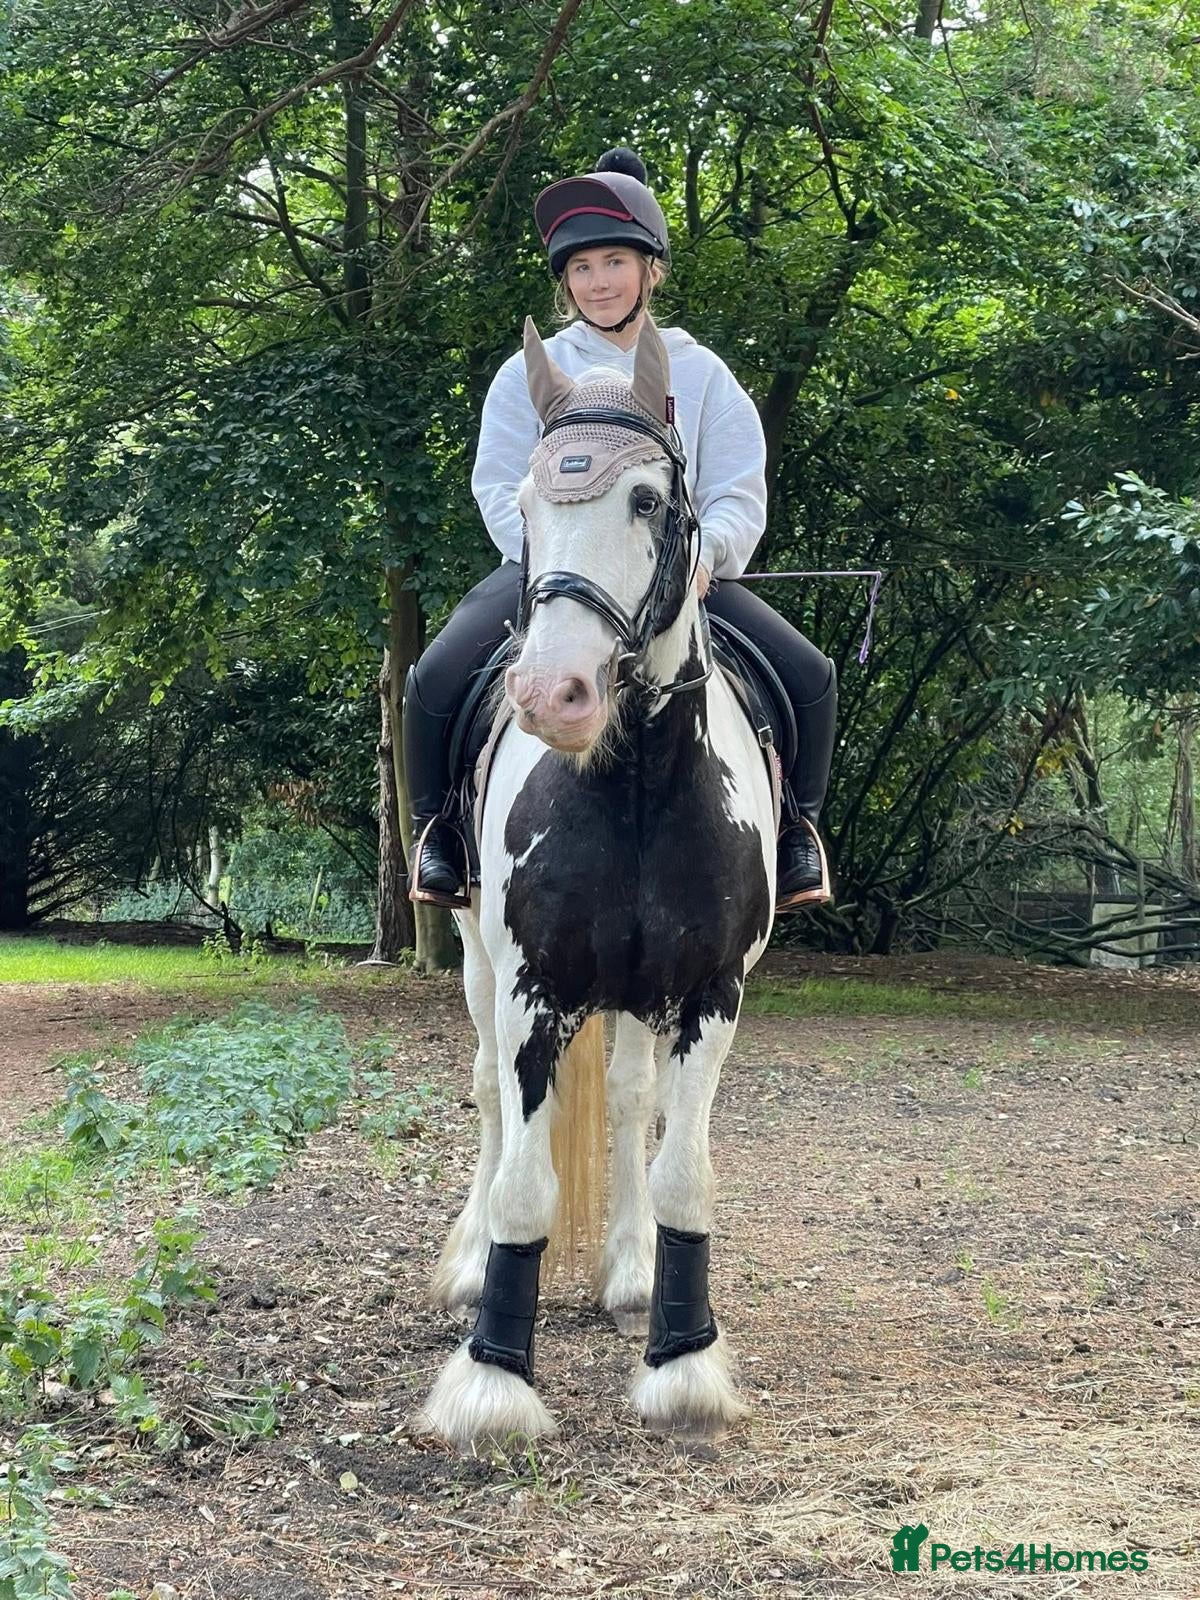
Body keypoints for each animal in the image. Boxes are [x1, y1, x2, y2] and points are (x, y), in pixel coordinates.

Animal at [416, 314, 777, 1447]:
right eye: (529, 504)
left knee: (626, 1103)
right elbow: (525, 1186)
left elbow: (683, 1173)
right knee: (490, 1095)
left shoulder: (709, 996)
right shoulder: (534, 992)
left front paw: (683, 1357)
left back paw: (628, 1269)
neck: (631, 787)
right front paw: (491, 1378)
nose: (552, 695)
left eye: (649, 501)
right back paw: (468, 1259)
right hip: (479, 969)